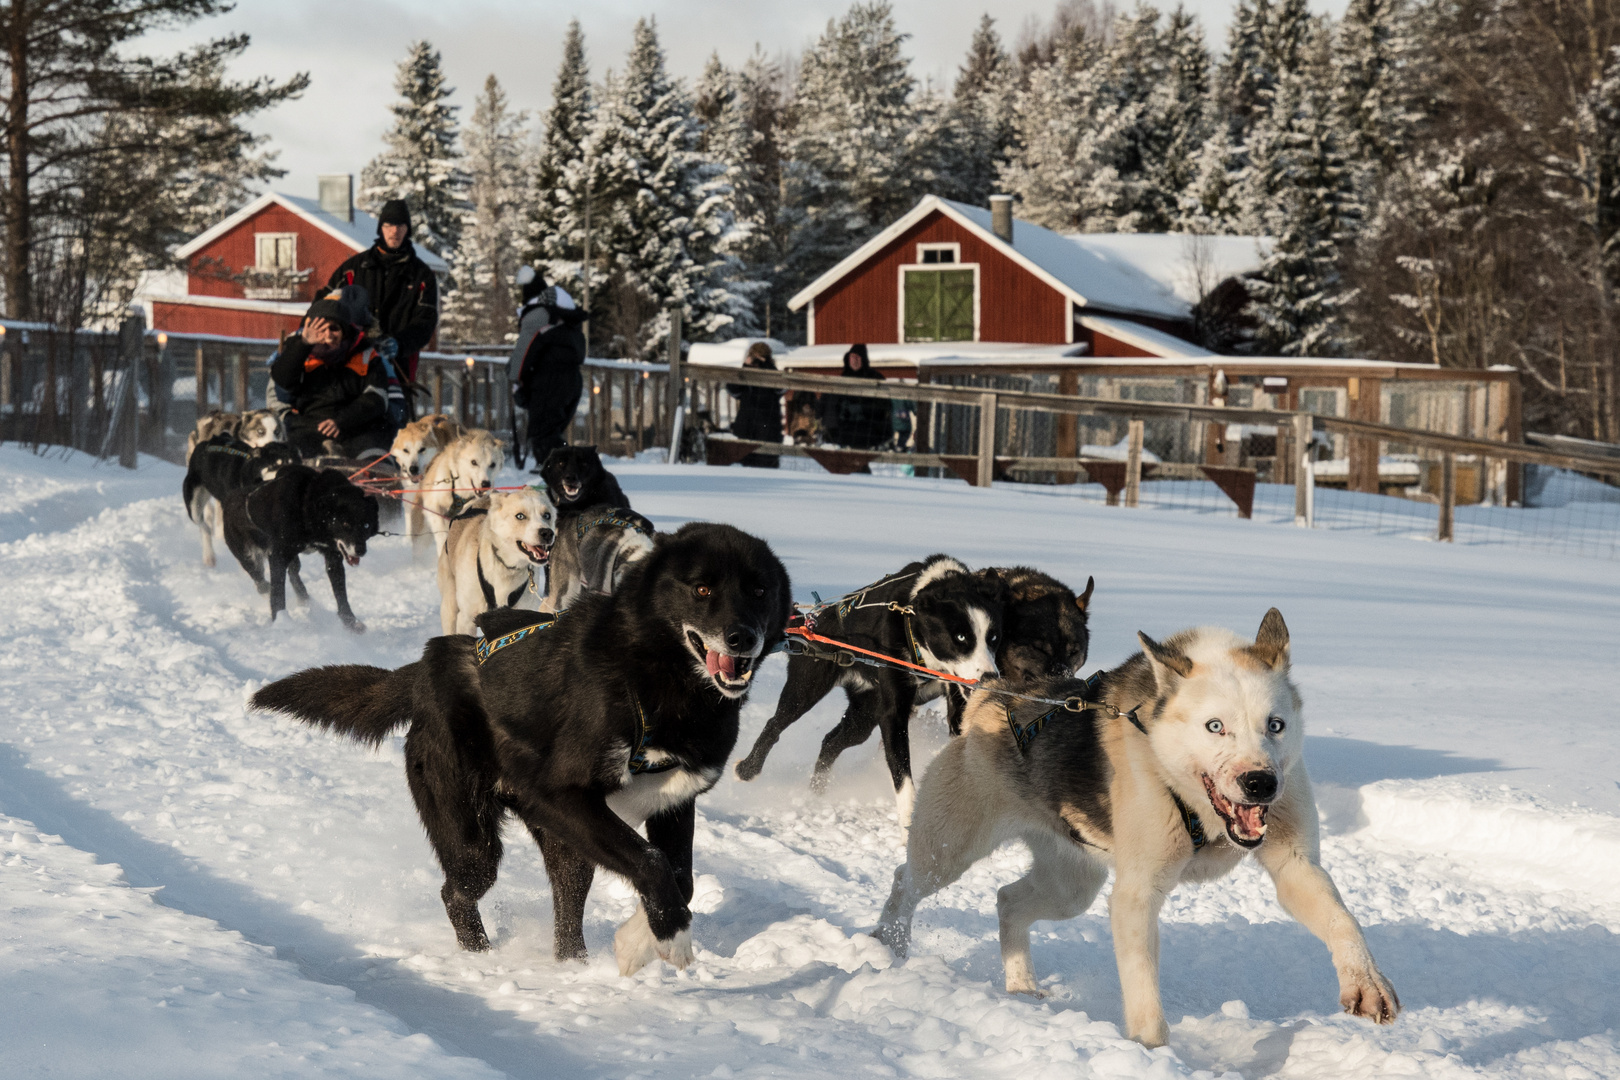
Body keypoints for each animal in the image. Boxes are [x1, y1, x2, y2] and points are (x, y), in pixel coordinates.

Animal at [220, 466, 377, 634]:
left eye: (366, 525)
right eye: (346, 524)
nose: (360, 550)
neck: (308, 506)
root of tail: (230, 498)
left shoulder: (333, 557)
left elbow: (341, 594)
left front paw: (351, 622)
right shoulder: (278, 556)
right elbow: (277, 594)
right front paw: (280, 621)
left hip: (291, 559)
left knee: (293, 574)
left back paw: (305, 599)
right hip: (248, 557)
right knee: (260, 582)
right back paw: (269, 590)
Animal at [249, 524, 793, 971]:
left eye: (759, 590)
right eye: (702, 589)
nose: (743, 637)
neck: (657, 682)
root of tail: (429, 666)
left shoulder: (673, 803)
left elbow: (681, 876)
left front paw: (641, 939)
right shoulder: (563, 795)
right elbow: (654, 864)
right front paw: (670, 938)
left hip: (565, 843)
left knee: (565, 912)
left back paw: (572, 967)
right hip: (476, 840)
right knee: (456, 892)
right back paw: (482, 958)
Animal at [732, 553, 997, 822]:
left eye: (993, 637)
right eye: (960, 638)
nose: (989, 677)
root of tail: (811, 622)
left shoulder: (956, 703)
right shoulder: (894, 713)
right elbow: (902, 773)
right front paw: (908, 821)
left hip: (864, 716)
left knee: (830, 742)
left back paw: (816, 792)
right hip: (806, 690)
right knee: (775, 725)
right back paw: (748, 769)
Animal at [881, 612, 1399, 1049]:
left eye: (1276, 725)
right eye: (1216, 726)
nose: (1261, 783)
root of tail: (993, 691)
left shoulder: (1296, 866)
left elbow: (1342, 921)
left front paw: (1366, 982)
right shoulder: (1137, 895)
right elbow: (1144, 989)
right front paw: (1153, 1053)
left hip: (1072, 886)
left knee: (1007, 899)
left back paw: (1021, 985)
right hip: (948, 851)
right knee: (905, 881)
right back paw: (888, 947)